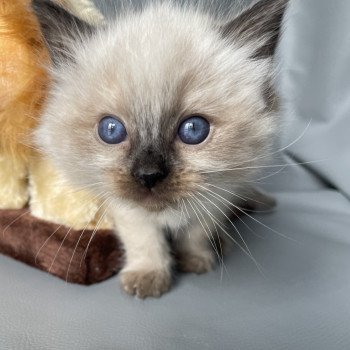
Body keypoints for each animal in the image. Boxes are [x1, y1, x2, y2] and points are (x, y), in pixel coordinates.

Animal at [32, 0, 288, 298]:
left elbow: (196, 233)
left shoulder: (215, 197)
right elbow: (145, 241)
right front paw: (149, 277)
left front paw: (196, 261)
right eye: (111, 130)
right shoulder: (126, 207)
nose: (149, 176)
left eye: (194, 130)